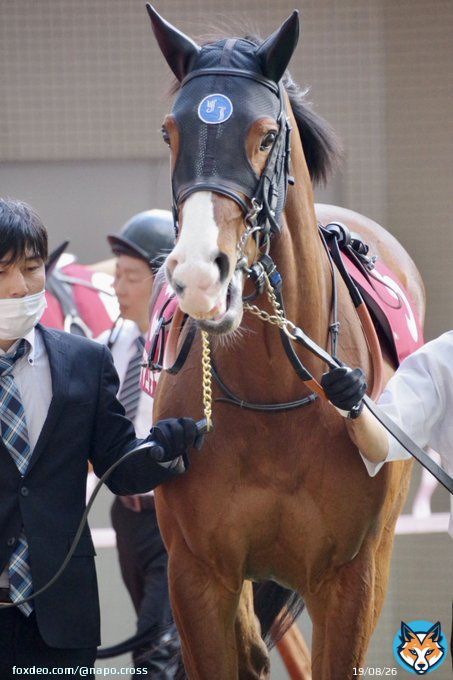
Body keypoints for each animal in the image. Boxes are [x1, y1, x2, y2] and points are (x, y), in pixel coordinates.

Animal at [146, 7, 426, 678]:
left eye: (268, 135)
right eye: (170, 133)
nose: (200, 275)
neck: (273, 400)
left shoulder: (351, 580)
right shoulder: (198, 576)